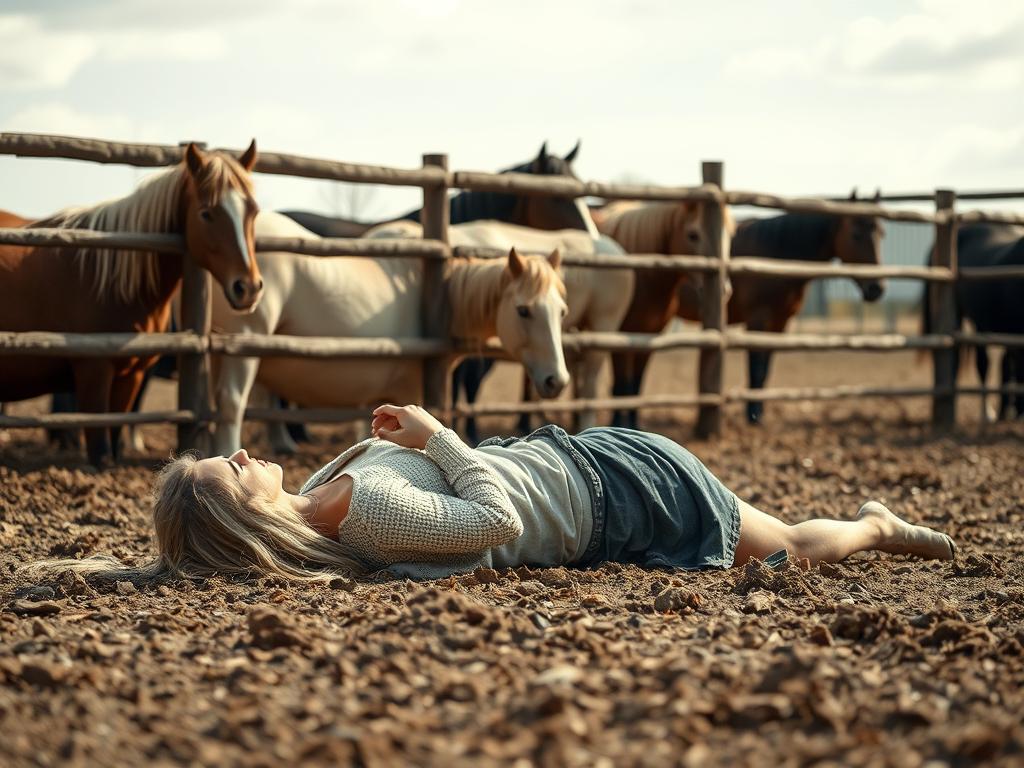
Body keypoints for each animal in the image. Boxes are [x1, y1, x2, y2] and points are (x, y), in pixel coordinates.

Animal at [1, 142, 264, 466]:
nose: (248, 288)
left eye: (253, 212)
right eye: (206, 213)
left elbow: (116, 431)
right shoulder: (93, 370)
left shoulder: (131, 375)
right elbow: (101, 451)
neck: (110, 277)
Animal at [210, 210, 573, 456]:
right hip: (241, 352)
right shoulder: (410, 392)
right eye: (523, 310)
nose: (556, 381)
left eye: (562, 311)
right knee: (231, 404)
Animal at [593, 199, 737, 434]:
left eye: (730, 236)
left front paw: (634, 425)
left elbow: (636, 385)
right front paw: (617, 424)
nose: (724, 290)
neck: (643, 274)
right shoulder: (620, 340)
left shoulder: (648, 337)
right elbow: (622, 386)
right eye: (693, 235)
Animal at [606, 198, 888, 428]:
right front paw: (752, 416)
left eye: (882, 234)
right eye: (856, 234)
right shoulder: (759, 320)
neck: (776, 256)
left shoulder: (780, 323)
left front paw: (758, 415)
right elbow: (757, 368)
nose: (876, 288)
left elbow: (765, 370)